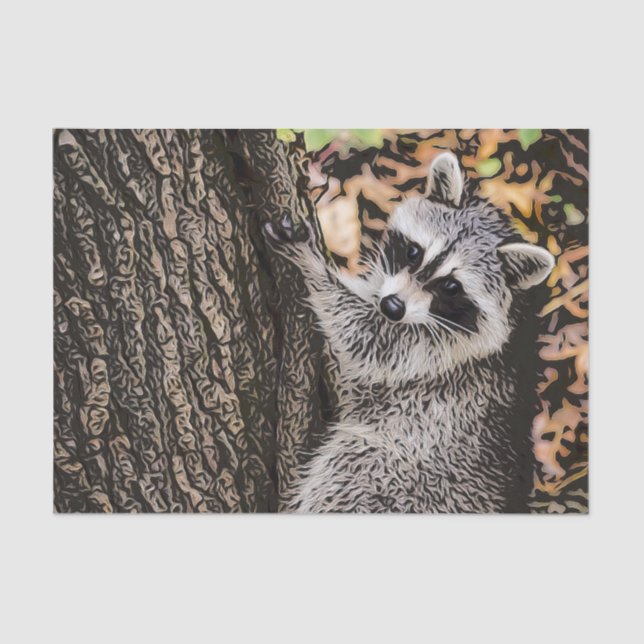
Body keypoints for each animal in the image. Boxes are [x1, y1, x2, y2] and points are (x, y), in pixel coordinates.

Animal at [265, 152, 555, 513]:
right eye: (414, 252)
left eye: (450, 286)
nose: (392, 307)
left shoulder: (438, 357)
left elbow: (368, 340)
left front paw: (314, 267)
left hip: (401, 477)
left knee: (348, 470)